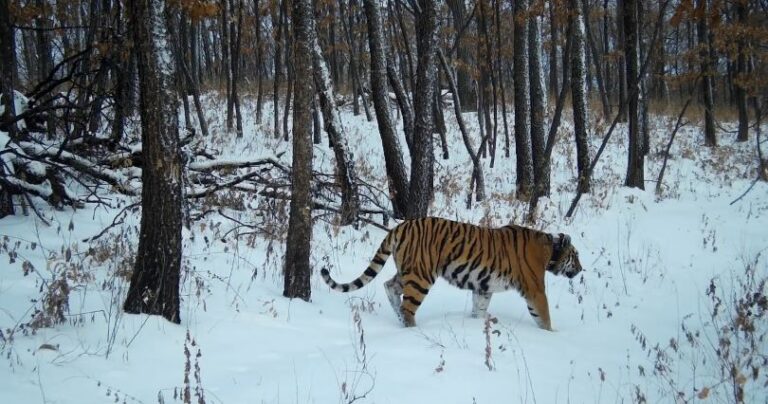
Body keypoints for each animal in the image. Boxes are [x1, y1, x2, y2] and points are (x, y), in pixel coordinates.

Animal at [320, 217, 583, 330]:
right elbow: (544, 315)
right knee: (407, 306)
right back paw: (411, 329)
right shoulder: (535, 289)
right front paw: (552, 334)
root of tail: (400, 226)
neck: (550, 249)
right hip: (421, 275)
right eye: (576, 255)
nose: (582, 270)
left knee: (389, 286)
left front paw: (476, 323)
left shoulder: (483, 286)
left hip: (407, 270)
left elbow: (479, 308)